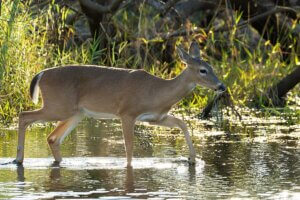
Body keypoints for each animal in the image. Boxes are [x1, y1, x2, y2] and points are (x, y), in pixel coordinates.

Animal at [12, 42, 226, 167]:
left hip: (75, 112)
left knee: (52, 138)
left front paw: (192, 159)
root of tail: (41, 74)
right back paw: (18, 159)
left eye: (212, 67)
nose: (221, 86)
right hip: (57, 106)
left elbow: (183, 123)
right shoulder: (127, 113)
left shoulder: (156, 118)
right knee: (24, 116)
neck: (157, 92)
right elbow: (129, 146)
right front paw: (128, 167)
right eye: (203, 70)